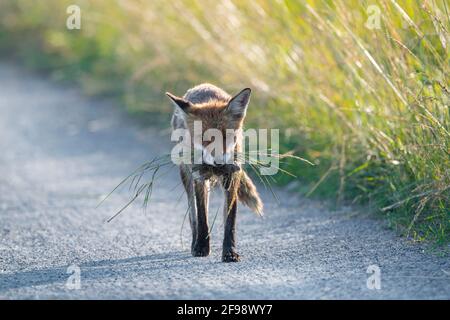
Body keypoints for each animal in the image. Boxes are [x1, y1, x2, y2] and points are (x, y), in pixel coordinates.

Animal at [167, 83, 262, 262]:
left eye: (227, 136)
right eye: (204, 138)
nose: (219, 162)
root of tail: (203, 86)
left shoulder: (232, 176)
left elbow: (230, 219)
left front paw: (230, 251)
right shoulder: (199, 177)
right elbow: (202, 216)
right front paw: (201, 247)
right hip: (187, 176)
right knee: (193, 215)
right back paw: (195, 242)